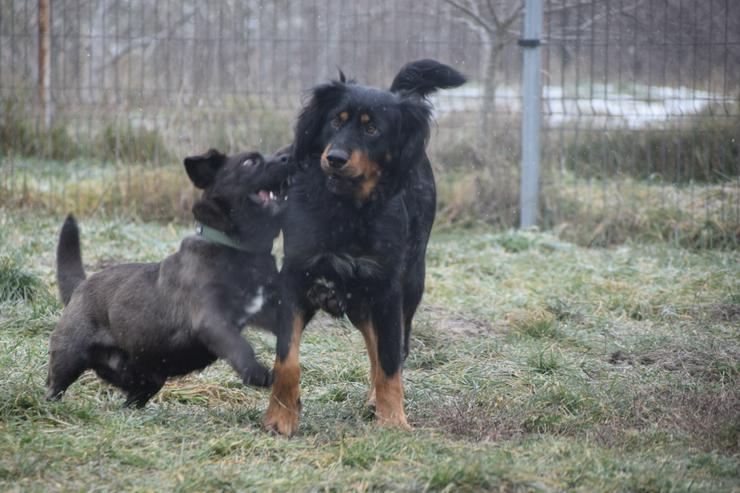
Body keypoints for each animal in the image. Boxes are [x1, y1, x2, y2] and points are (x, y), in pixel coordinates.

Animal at [44, 147, 294, 408]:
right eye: (249, 162)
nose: (288, 156)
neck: (240, 251)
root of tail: (80, 286)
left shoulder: (264, 311)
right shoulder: (210, 319)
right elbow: (240, 345)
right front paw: (256, 372)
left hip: (145, 380)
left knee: (131, 401)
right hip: (69, 356)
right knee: (55, 385)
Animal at [264, 58, 466, 434]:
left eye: (372, 130)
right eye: (334, 120)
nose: (335, 157)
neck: (346, 209)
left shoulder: (386, 288)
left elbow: (389, 361)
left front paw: (393, 421)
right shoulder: (296, 280)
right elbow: (287, 360)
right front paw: (281, 417)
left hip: (407, 284)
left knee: (391, 349)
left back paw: (377, 402)